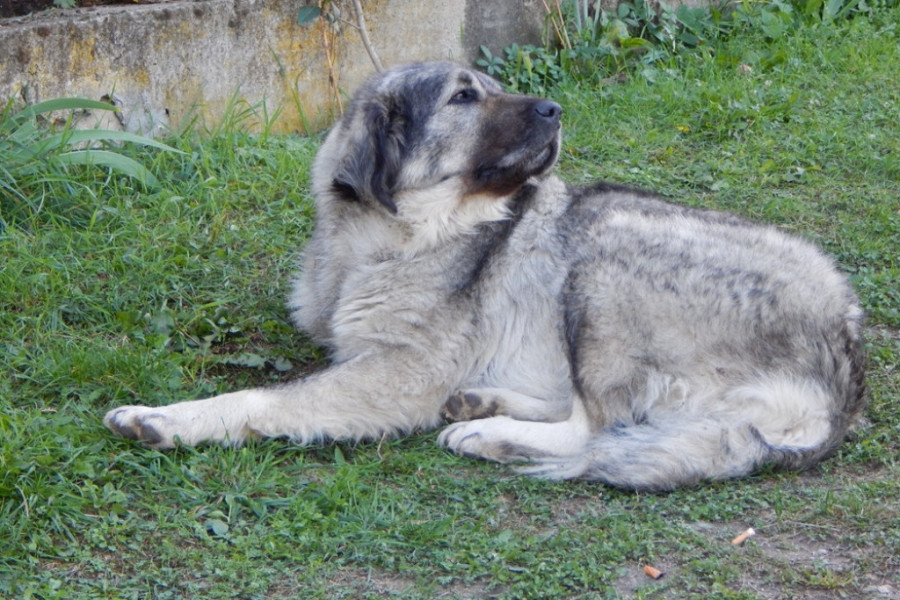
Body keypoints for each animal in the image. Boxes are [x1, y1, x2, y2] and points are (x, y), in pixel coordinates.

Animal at [103, 61, 864, 492]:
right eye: (463, 98)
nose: (556, 109)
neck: (395, 238)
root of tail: (846, 366)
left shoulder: (397, 374)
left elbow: (264, 398)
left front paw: (164, 418)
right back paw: (481, 401)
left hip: (604, 259)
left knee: (600, 426)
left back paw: (487, 432)